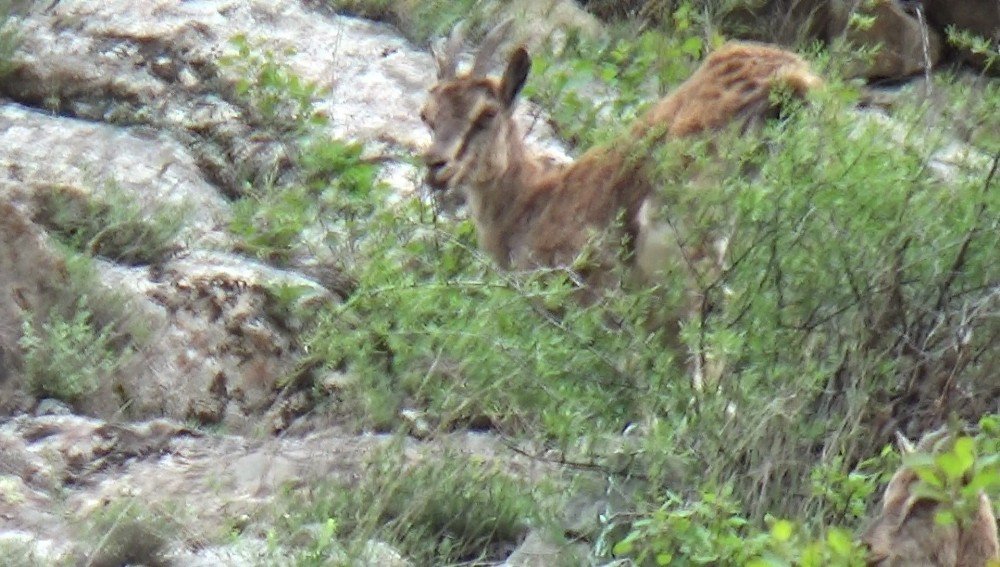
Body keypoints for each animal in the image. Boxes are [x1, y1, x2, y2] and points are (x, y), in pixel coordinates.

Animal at [422, 17, 820, 382]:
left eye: (486, 114)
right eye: (428, 115)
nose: (436, 166)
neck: (528, 202)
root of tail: (785, 79)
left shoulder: (585, 290)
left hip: (683, 248)